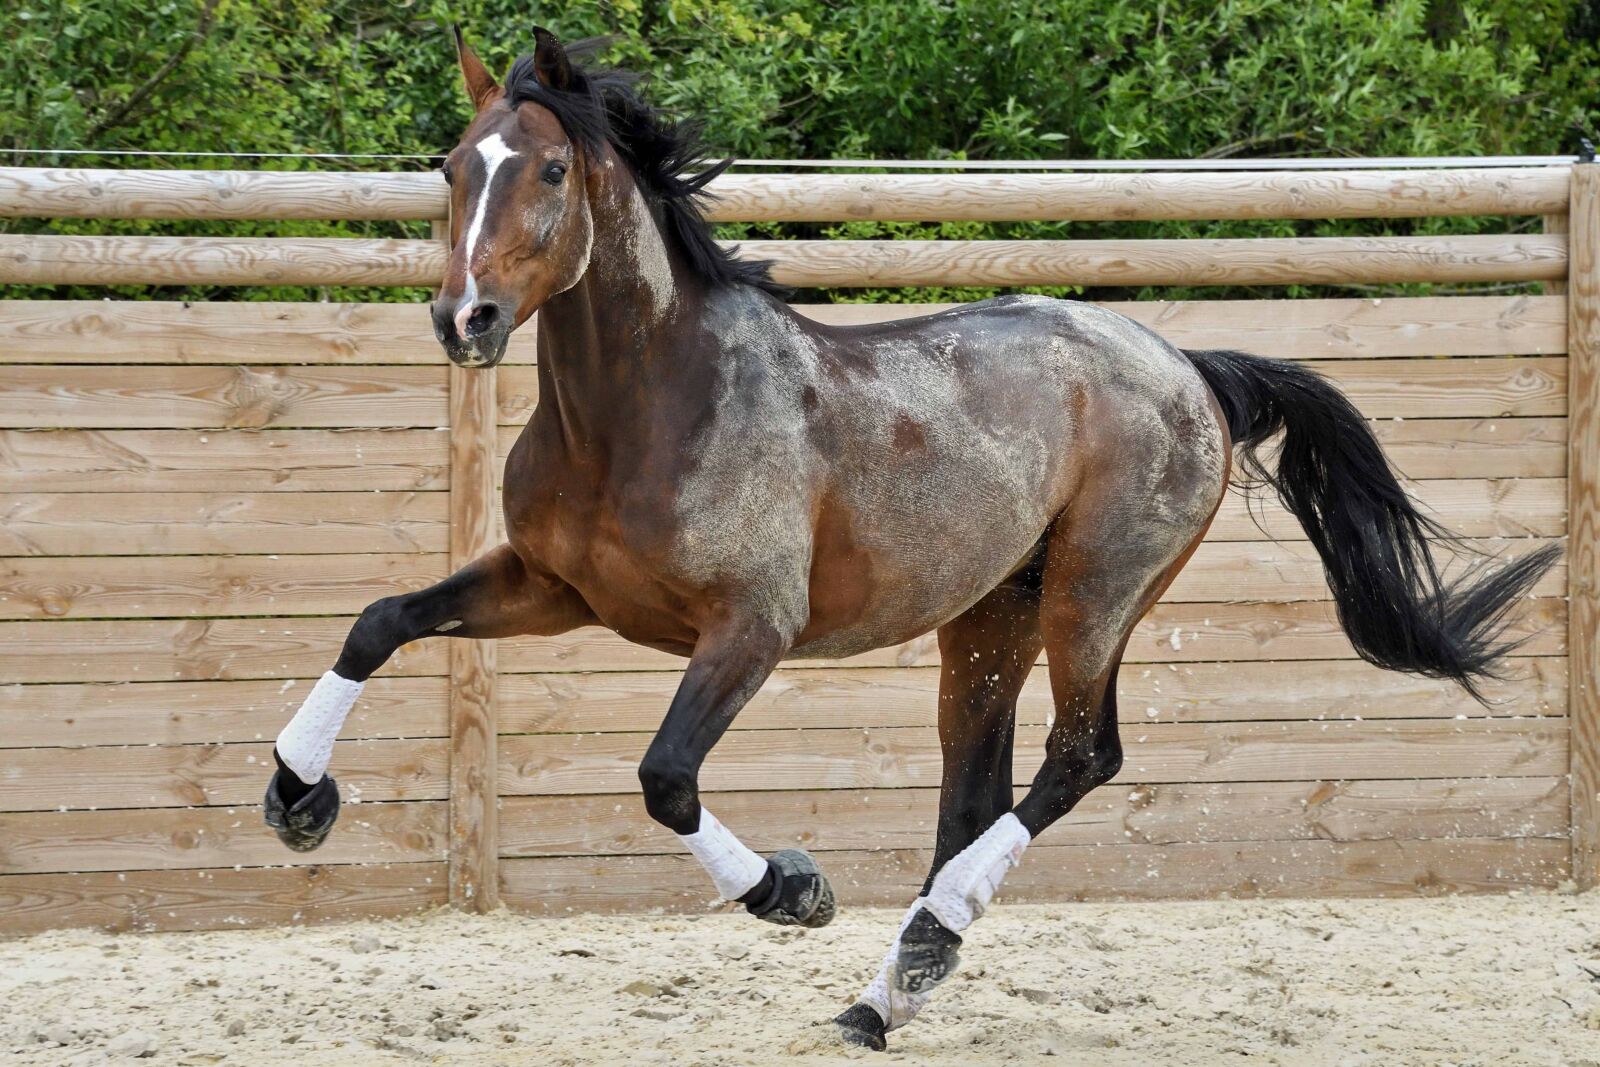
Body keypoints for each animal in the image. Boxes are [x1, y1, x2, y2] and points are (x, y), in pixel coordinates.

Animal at [262, 28, 1560, 1051]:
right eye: (449, 167)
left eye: (545, 167)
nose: (464, 319)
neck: (642, 409)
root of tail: (1188, 365)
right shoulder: (549, 586)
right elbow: (378, 622)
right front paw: (297, 797)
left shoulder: (748, 628)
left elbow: (666, 776)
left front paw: (791, 889)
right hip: (987, 620)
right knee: (973, 790)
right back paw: (887, 993)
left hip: (1094, 592)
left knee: (1079, 758)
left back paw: (922, 947)